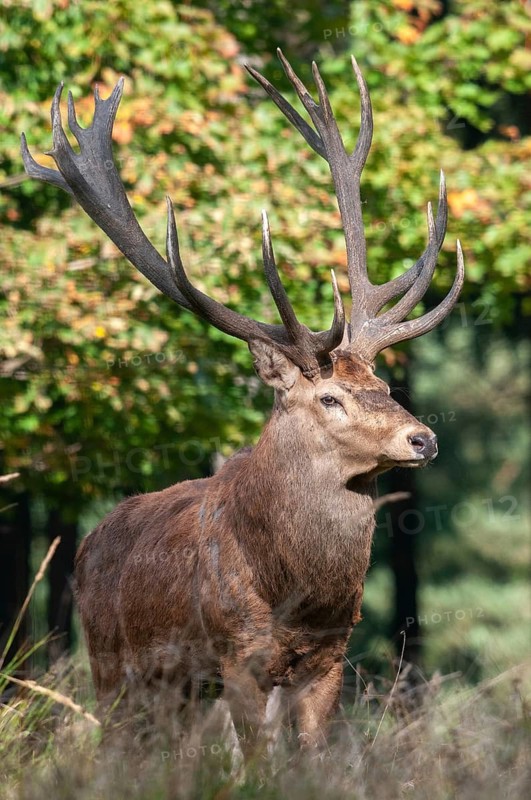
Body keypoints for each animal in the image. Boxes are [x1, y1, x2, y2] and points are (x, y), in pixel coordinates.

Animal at [21, 49, 463, 750]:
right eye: (330, 398)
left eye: (385, 388)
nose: (423, 437)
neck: (294, 594)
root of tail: (88, 545)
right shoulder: (239, 655)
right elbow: (255, 760)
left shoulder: (328, 658)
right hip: (110, 664)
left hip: (175, 690)